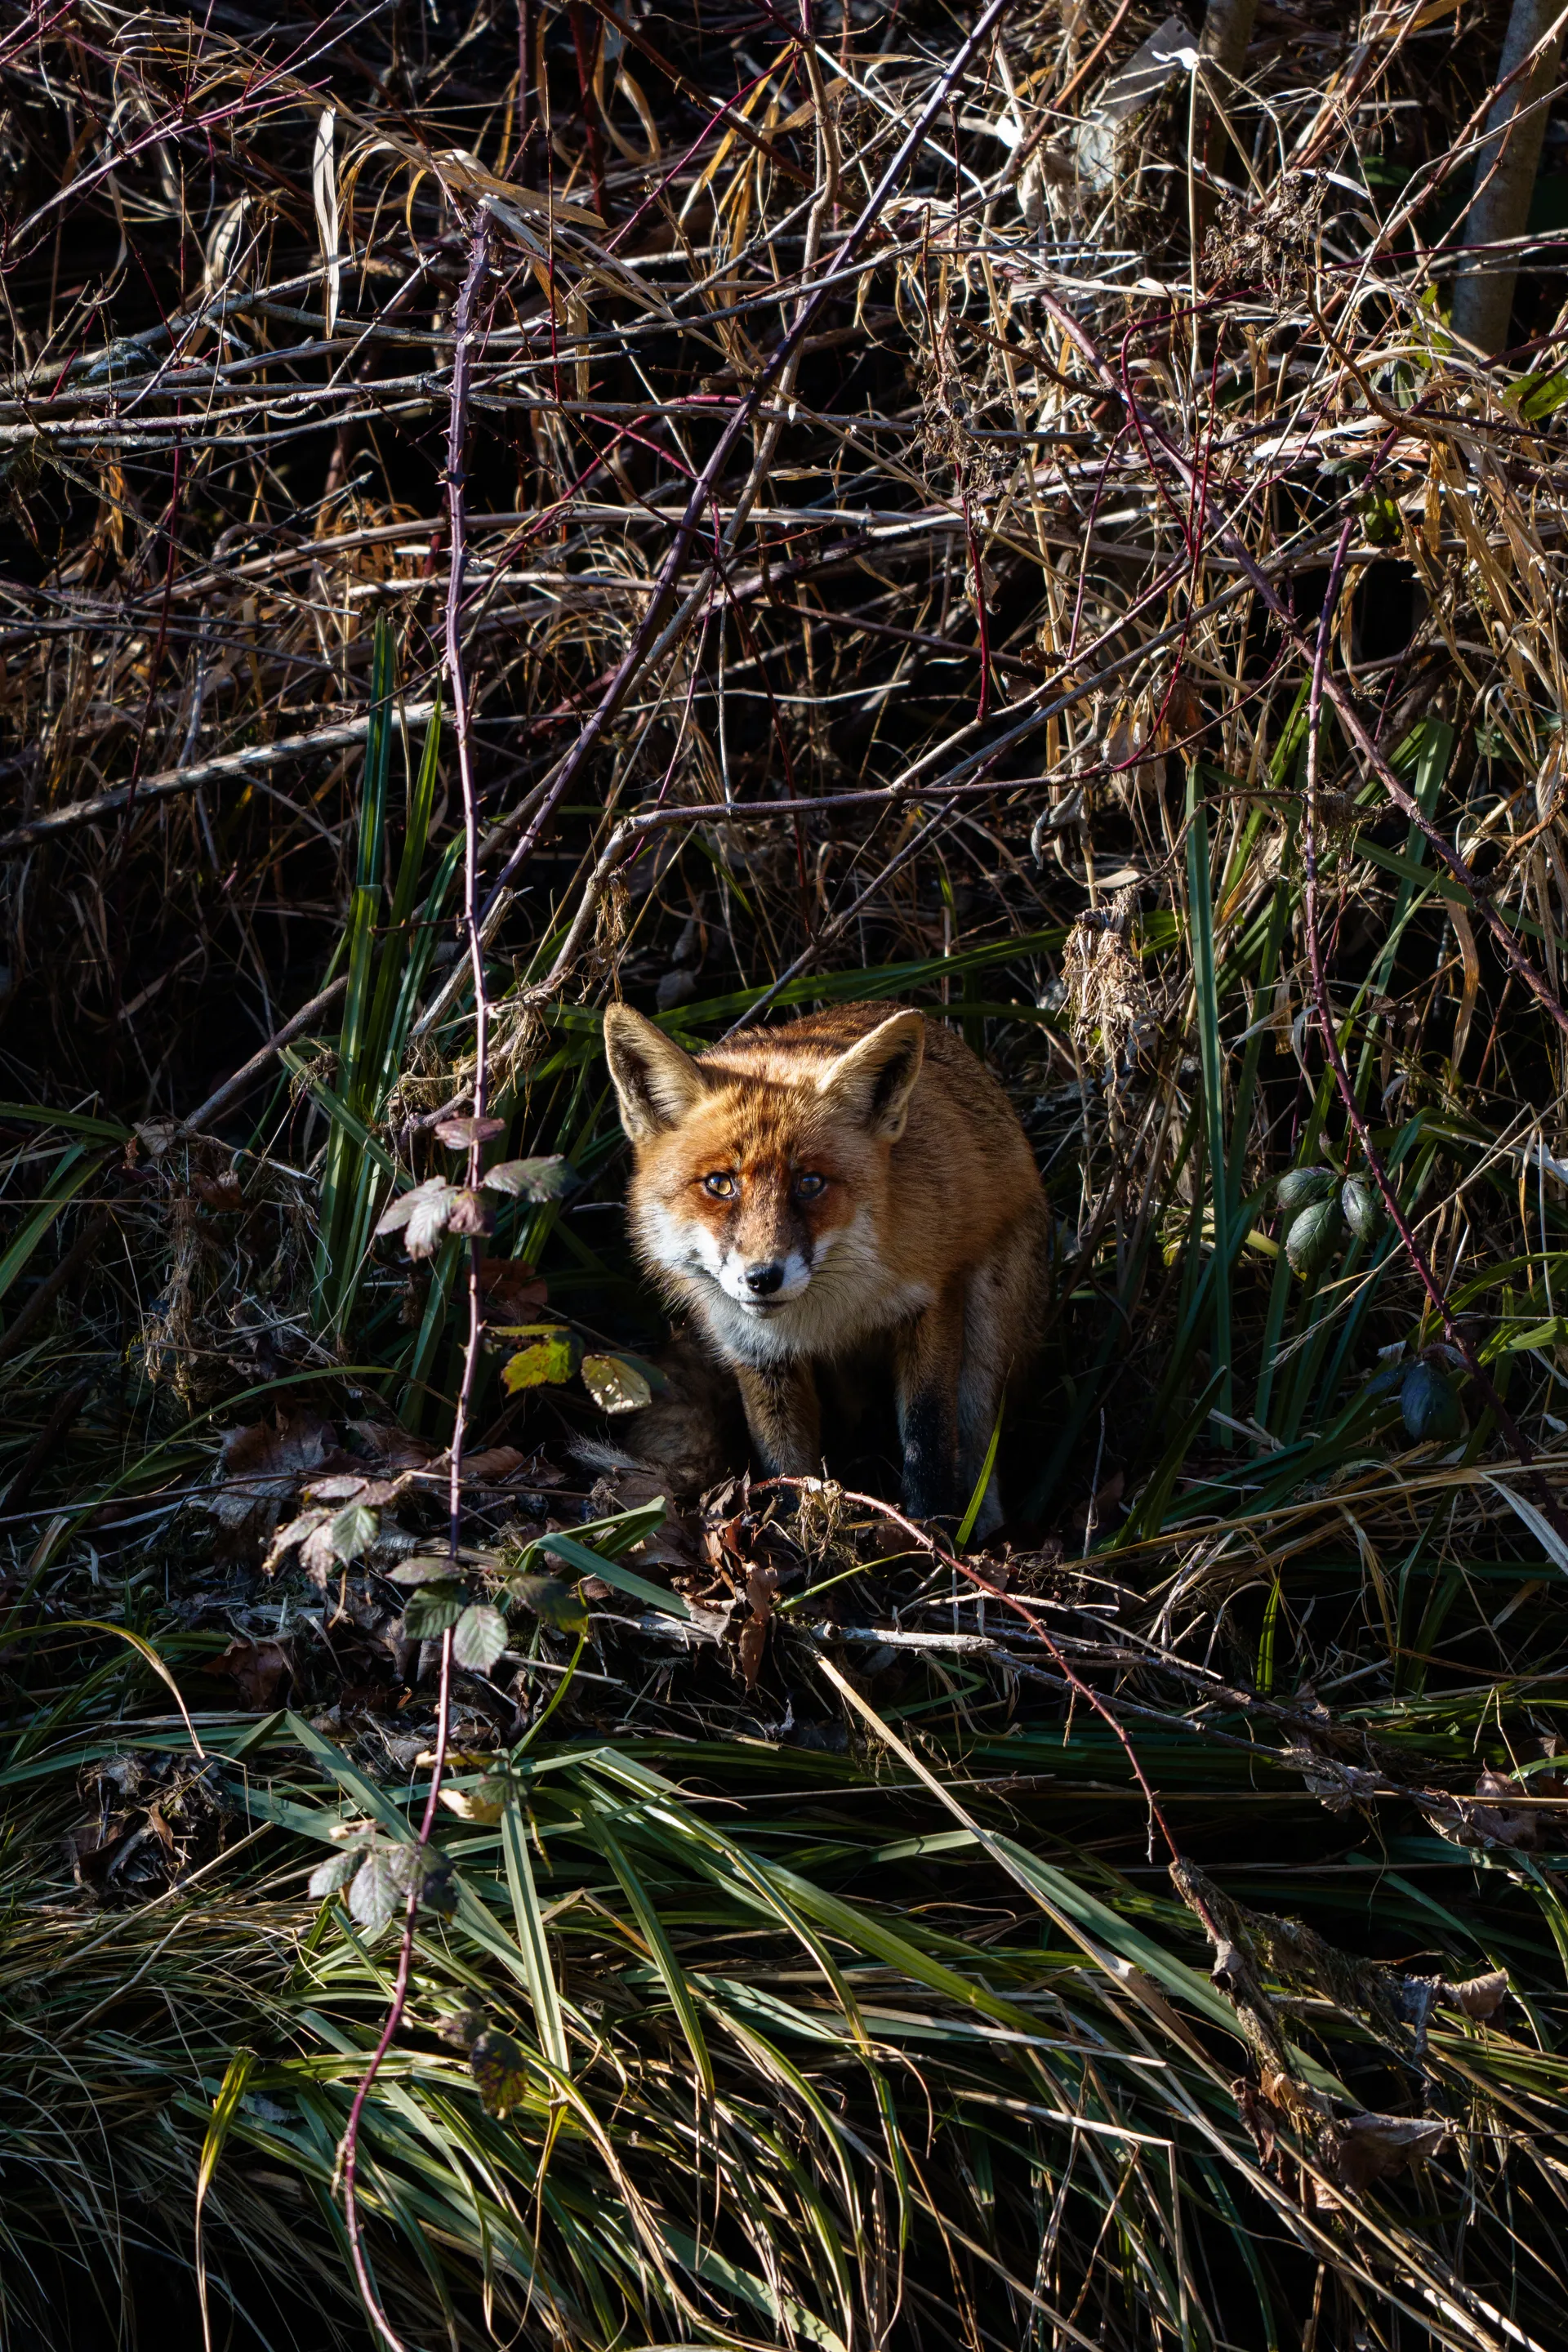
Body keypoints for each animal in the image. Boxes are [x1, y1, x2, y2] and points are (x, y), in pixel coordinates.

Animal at [603, 1000, 1049, 1533]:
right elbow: (786, 1466)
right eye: (720, 1184)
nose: (762, 1278)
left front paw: (930, 1535)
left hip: (988, 1335)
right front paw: (796, 1540)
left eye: (810, 1183)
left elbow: (928, 1441)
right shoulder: (756, 1352)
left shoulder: (934, 1299)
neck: (830, 1317)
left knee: (981, 1435)